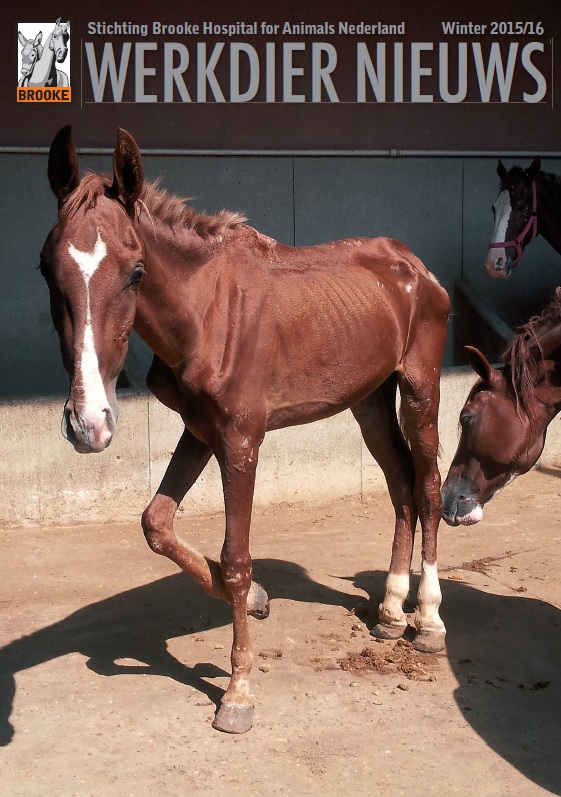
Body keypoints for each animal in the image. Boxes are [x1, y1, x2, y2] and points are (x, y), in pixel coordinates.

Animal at [41, 126, 448, 732]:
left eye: (136, 272)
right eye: (47, 270)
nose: (89, 424)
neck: (206, 312)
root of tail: (414, 266)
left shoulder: (240, 441)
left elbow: (235, 558)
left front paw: (237, 691)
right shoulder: (200, 429)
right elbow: (156, 524)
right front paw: (257, 598)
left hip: (421, 391)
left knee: (428, 488)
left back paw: (429, 621)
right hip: (371, 402)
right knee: (400, 486)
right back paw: (392, 612)